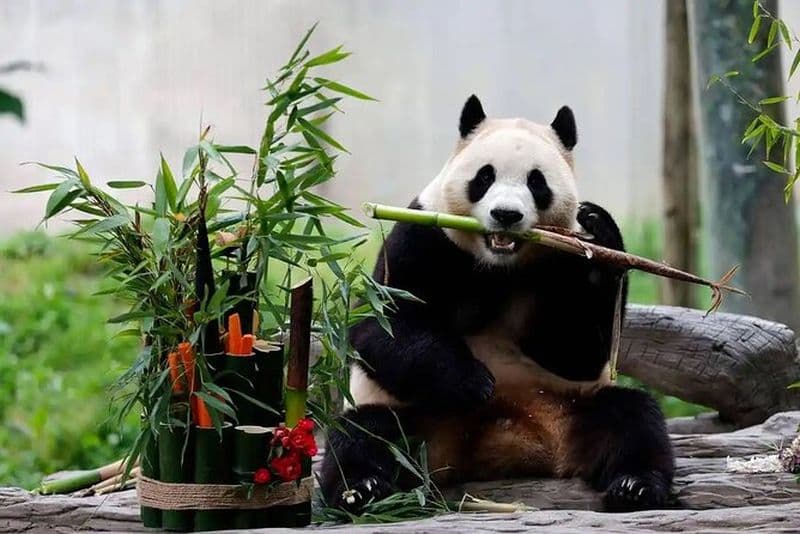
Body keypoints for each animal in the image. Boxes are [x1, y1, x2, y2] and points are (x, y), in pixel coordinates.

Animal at [319, 95, 674, 513]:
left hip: (570, 406)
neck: (497, 263)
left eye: (536, 182)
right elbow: (383, 324)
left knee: (631, 417)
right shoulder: (423, 236)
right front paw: (472, 381)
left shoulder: (558, 260)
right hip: (410, 417)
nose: (506, 215)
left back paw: (636, 485)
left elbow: (576, 351)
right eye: (484, 177)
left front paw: (598, 229)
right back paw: (361, 490)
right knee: (363, 434)